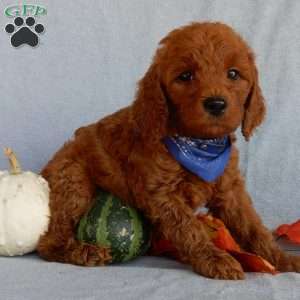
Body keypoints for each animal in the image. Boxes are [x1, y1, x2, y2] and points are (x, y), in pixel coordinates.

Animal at [37, 22, 300, 278]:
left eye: (233, 73)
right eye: (185, 76)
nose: (216, 104)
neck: (200, 147)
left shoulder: (230, 190)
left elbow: (253, 227)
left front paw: (281, 259)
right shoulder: (162, 194)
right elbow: (189, 229)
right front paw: (215, 259)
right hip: (73, 181)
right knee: (48, 241)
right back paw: (84, 252)